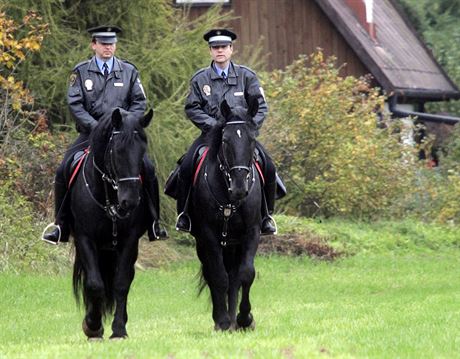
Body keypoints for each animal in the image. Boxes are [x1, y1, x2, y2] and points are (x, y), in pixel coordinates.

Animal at [70, 107, 153, 340]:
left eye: (142, 151)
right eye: (117, 151)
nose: (130, 201)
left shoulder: (130, 240)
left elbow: (121, 283)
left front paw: (118, 329)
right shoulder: (85, 238)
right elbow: (95, 284)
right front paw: (93, 325)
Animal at [190, 96, 262, 332]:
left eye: (252, 139)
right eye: (225, 140)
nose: (239, 188)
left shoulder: (252, 232)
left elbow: (246, 274)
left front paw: (244, 318)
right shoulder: (208, 235)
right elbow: (218, 277)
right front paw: (221, 321)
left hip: (233, 245)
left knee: (234, 277)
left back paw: (233, 321)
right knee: (216, 274)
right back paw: (224, 320)